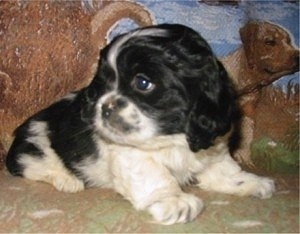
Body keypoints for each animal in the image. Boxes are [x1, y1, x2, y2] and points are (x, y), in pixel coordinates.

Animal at [5, 24, 276, 225]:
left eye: (143, 83)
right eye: (103, 84)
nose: (105, 106)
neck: (174, 135)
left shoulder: (212, 145)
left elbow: (225, 171)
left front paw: (251, 183)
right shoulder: (131, 155)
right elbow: (156, 175)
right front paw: (174, 201)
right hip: (38, 139)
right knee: (31, 165)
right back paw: (67, 179)